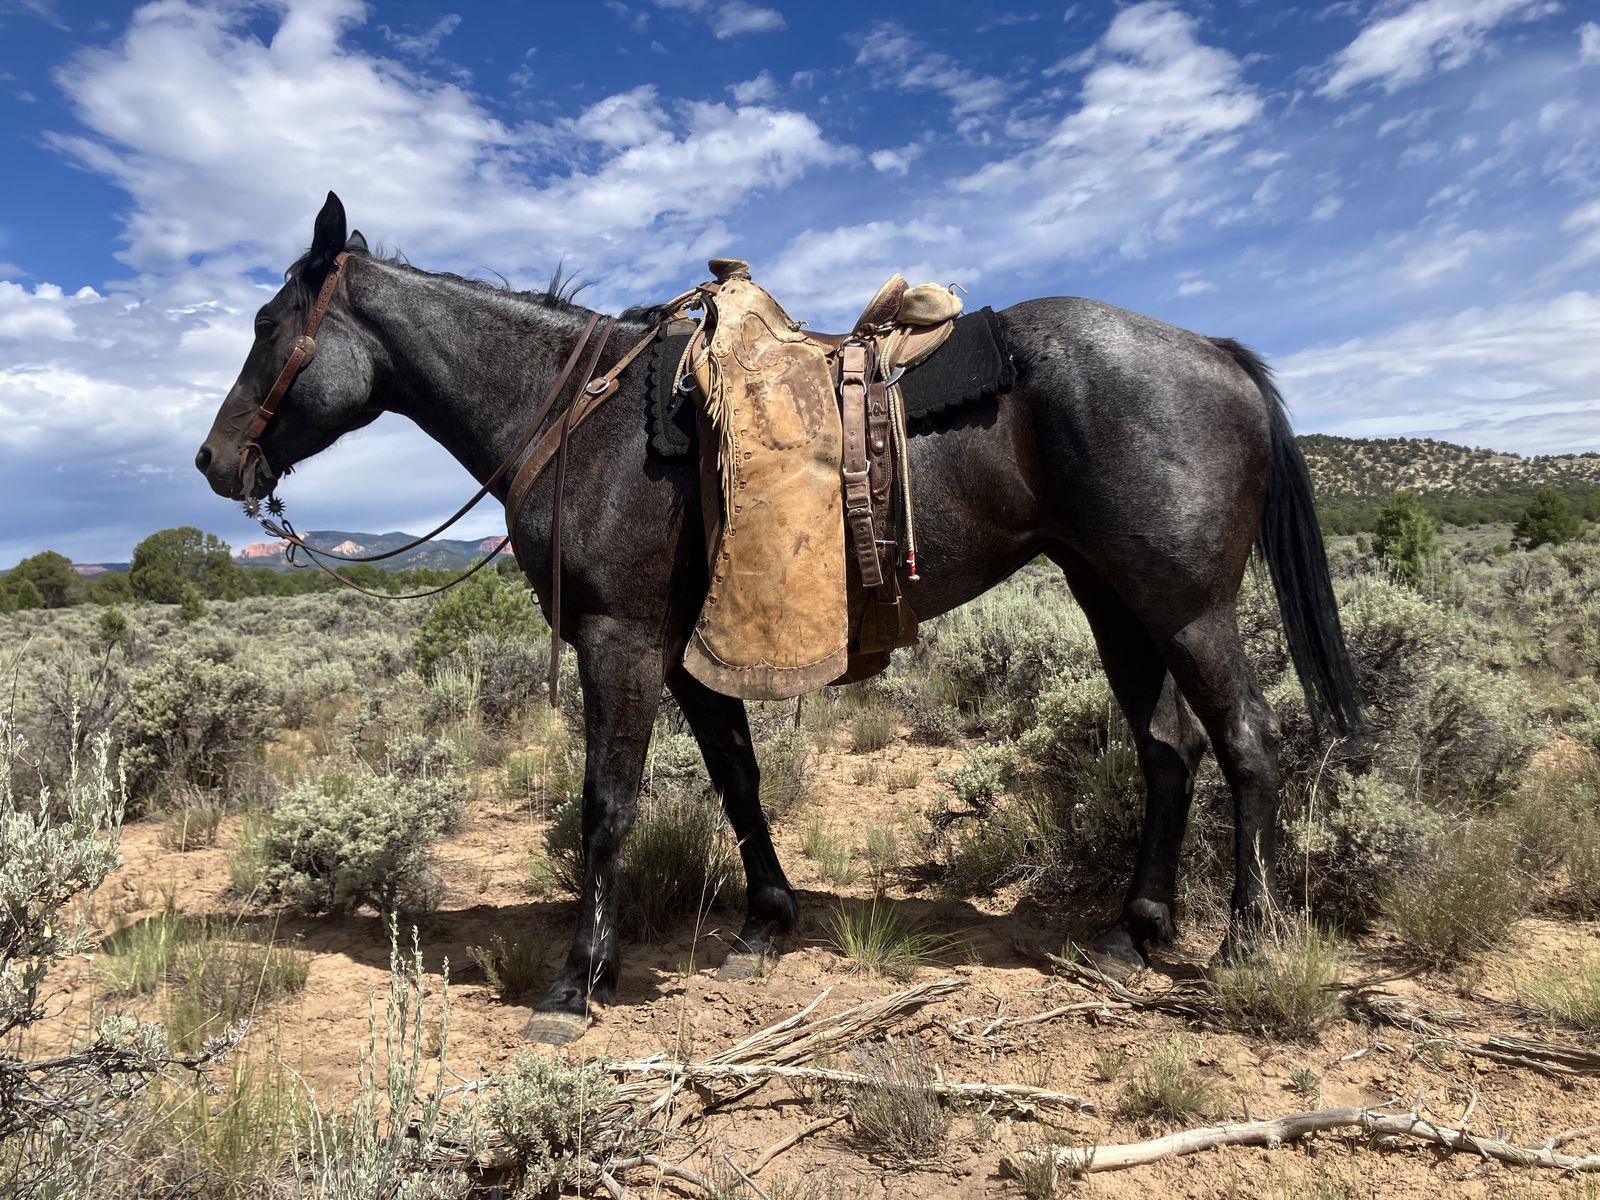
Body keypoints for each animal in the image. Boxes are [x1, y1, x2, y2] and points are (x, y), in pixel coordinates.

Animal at [196, 192, 1360, 1045]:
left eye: (266, 327)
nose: (211, 461)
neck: (574, 415)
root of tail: (1214, 352)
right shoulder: (684, 654)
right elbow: (737, 779)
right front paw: (763, 924)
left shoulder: (621, 640)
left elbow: (606, 805)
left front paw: (577, 984)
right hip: (1110, 595)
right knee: (1167, 750)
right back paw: (1132, 931)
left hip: (1186, 605)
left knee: (1247, 743)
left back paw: (1245, 942)